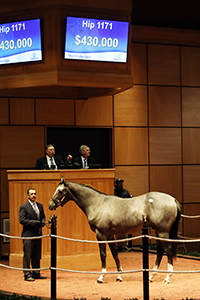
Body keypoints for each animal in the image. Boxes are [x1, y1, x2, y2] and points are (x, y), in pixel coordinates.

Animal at [48, 177, 181, 284]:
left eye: (60, 191)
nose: (50, 205)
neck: (97, 203)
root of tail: (173, 200)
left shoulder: (100, 234)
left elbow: (103, 254)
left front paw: (101, 277)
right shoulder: (110, 235)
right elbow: (115, 253)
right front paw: (119, 276)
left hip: (162, 232)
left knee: (168, 250)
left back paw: (167, 278)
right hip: (158, 232)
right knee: (160, 251)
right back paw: (151, 276)